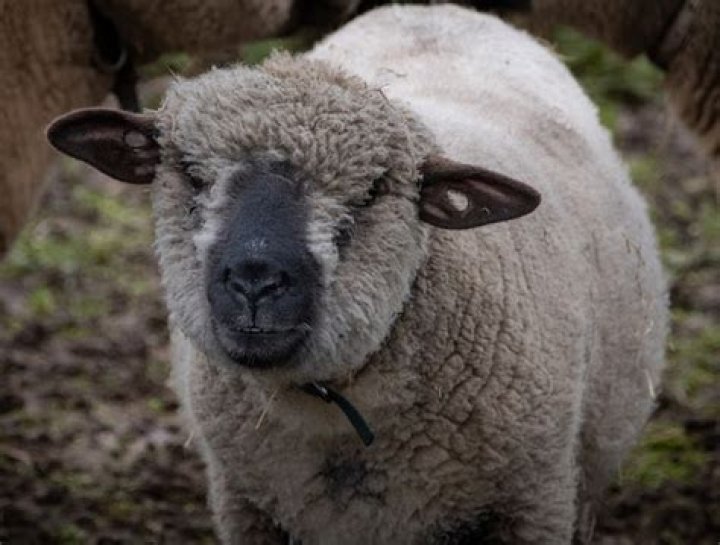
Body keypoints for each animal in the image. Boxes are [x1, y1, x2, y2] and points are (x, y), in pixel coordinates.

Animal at [46, 5, 666, 543]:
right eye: (192, 176)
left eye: (371, 192)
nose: (255, 280)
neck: (335, 420)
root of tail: (434, 7)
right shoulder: (246, 506)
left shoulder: (533, 503)